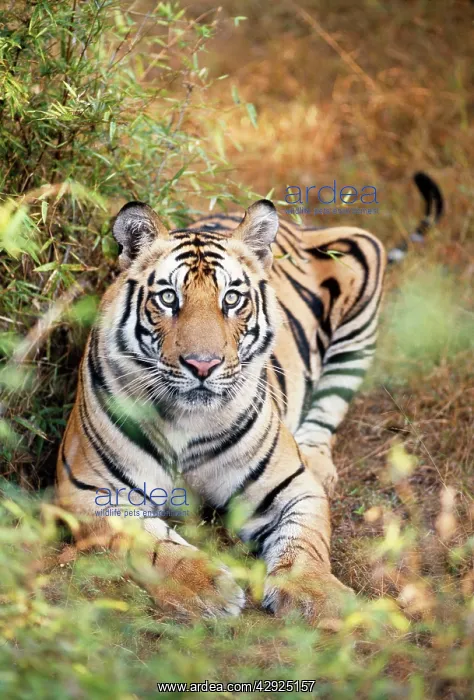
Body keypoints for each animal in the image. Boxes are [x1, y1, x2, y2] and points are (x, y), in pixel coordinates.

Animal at [56, 173, 442, 623]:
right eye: (168, 298)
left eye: (232, 299)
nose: (202, 365)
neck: (185, 421)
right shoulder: (88, 492)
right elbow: (153, 546)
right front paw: (205, 588)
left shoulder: (292, 487)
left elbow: (305, 543)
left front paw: (320, 598)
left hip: (362, 277)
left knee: (331, 402)